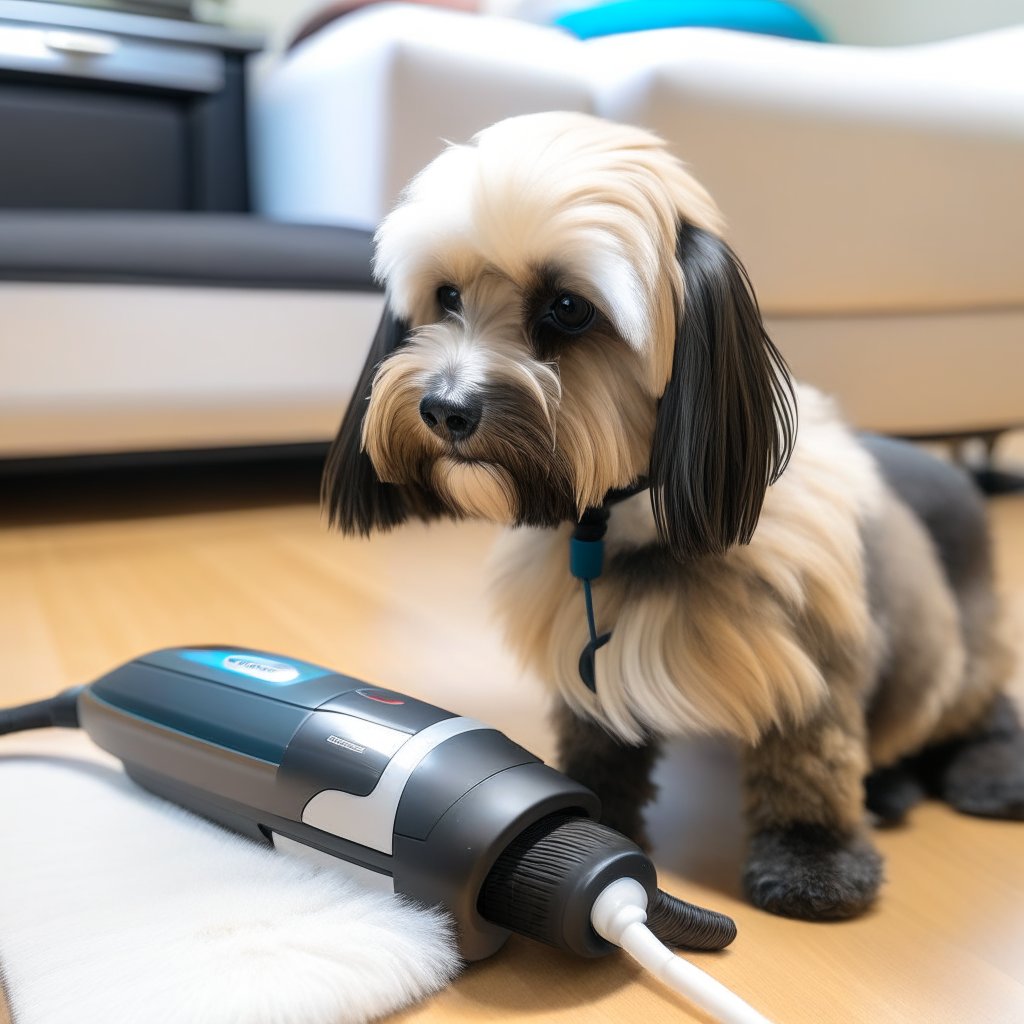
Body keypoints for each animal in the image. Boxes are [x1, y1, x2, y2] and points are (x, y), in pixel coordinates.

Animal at [323, 112, 1019, 921]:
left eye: (568, 308)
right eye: (447, 295)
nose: (444, 408)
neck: (625, 522)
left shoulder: (811, 653)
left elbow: (809, 760)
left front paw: (814, 862)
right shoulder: (584, 656)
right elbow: (600, 745)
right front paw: (593, 810)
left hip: (940, 654)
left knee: (984, 707)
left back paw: (983, 775)